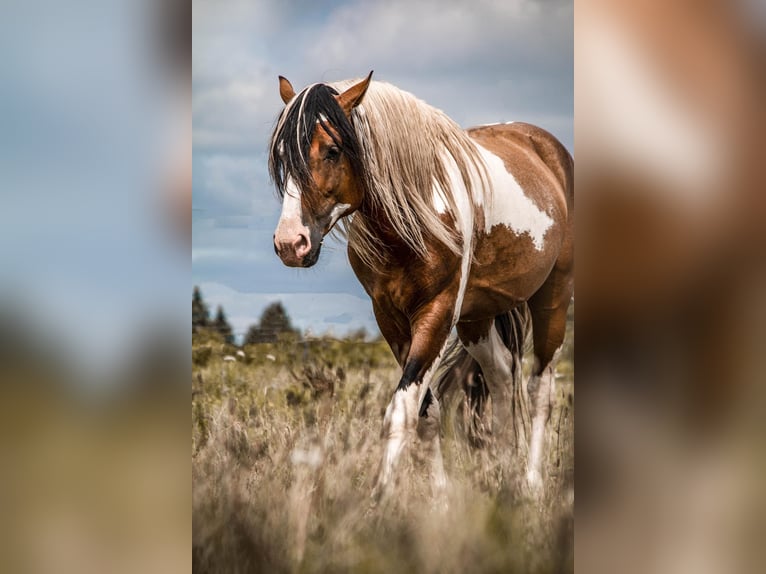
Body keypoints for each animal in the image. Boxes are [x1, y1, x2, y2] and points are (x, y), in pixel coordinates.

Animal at [268, 72, 572, 498]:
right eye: (281, 155)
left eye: (331, 150)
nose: (290, 243)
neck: (415, 217)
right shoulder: (391, 318)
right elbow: (425, 411)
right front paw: (440, 498)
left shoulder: (437, 312)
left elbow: (401, 410)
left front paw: (379, 499)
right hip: (476, 319)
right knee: (501, 378)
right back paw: (501, 474)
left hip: (552, 298)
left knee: (538, 390)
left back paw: (530, 483)